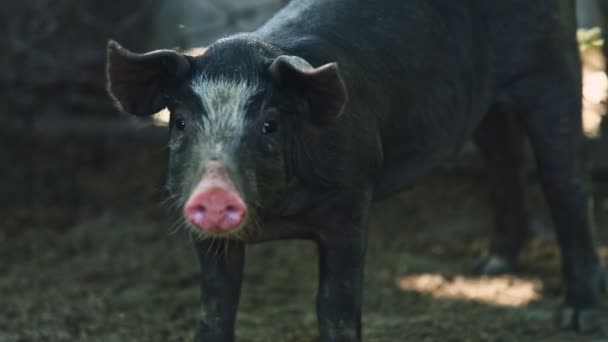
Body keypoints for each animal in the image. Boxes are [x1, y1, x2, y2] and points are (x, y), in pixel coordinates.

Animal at [107, 0, 604, 340]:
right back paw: (489, 267)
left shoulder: (350, 200)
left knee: (564, 181)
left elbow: (336, 303)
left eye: (269, 124)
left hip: (551, 65)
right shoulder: (201, 230)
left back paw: (580, 316)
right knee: (503, 162)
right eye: (181, 121)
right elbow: (216, 305)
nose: (213, 191)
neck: (277, 219)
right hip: (486, 107)